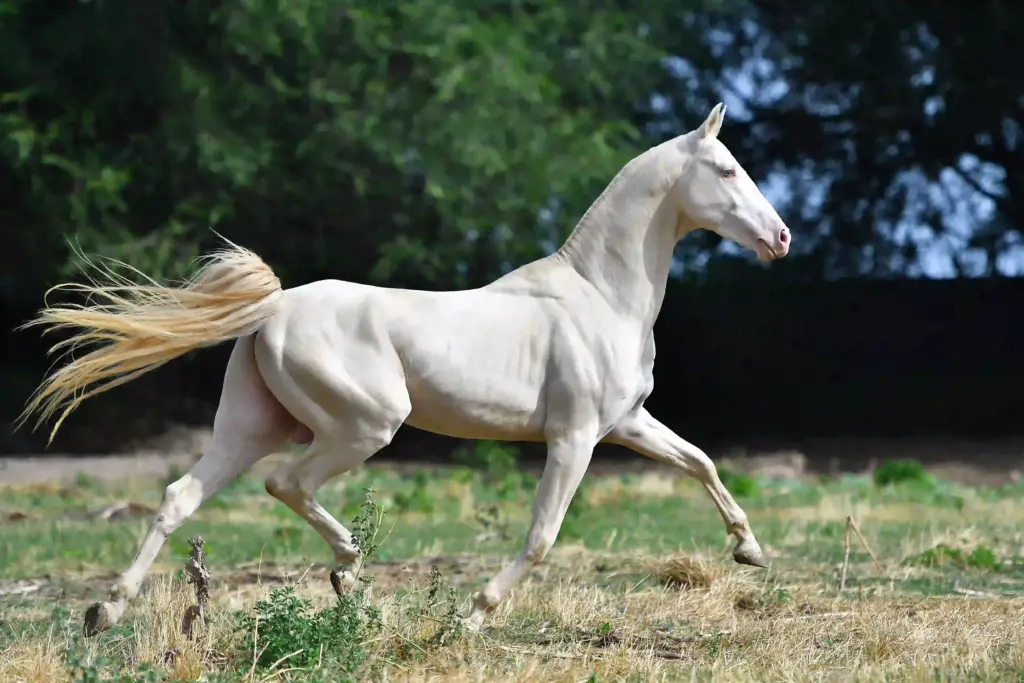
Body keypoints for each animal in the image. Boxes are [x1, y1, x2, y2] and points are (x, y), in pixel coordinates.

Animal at [18, 102, 790, 636]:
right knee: (287, 484)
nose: (780, 237)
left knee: (181, 496)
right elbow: (542, 535)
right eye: (727, 170)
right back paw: (349, 575)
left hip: (253, 425)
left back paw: (105, 611)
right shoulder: (573, 437)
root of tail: (273, 308)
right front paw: (476, 614)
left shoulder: (626, 422)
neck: (599, 296)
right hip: (364, 425)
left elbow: (701, 461)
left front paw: (750, 550)